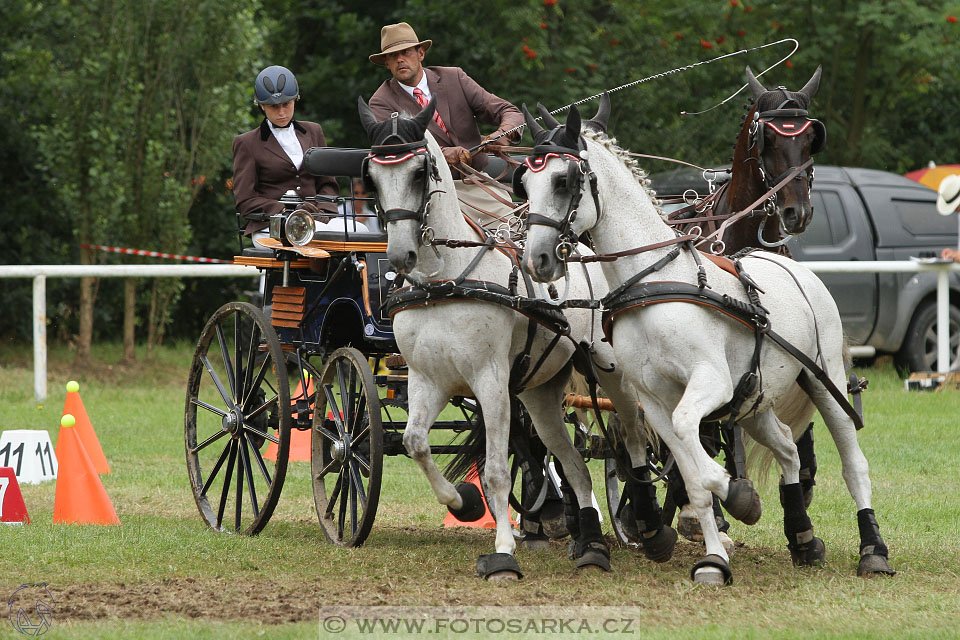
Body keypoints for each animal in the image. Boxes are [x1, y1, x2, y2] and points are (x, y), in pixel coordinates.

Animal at [356, 99, 680, 580]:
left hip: (612, 373)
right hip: (539, 393)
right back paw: (589, 544)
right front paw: (463, 503)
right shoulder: (427, 379)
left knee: (633, 438)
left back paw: (650, 527)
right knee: (575, 465)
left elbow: (495, 471)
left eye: (418, 172)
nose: (399, 255)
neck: (444, 279)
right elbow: (415, 443)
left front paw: (503, 552)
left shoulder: (489, 381)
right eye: (372, 177)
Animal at [512, 96, 896, 584]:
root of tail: (795, 267)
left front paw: (737, 501)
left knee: (852, 463)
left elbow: (700, 464)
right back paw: (803, 539)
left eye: (564, 181)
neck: (653, 280)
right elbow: (693, 474)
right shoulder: (656, 401)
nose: (538, 260)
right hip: (755, 398)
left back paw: (873, 550)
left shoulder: (710, 384)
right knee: (788, 448)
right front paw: (714, 556)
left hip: (824, 383)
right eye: (524, 182)